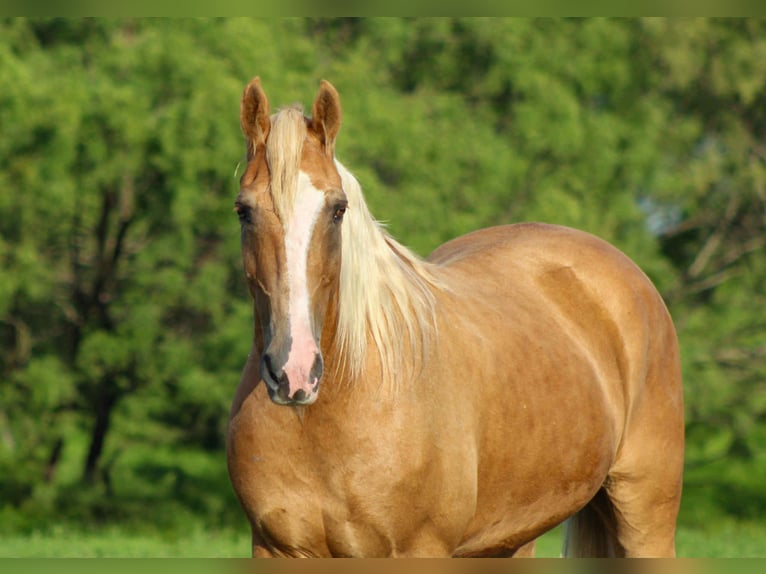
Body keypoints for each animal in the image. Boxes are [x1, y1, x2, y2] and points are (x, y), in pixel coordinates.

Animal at [226, 77, 685, 558]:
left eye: (338, 209)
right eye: (243, 210)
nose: (294, 371)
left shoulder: (420, 549)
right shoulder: (276, 549)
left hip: (645, 516)